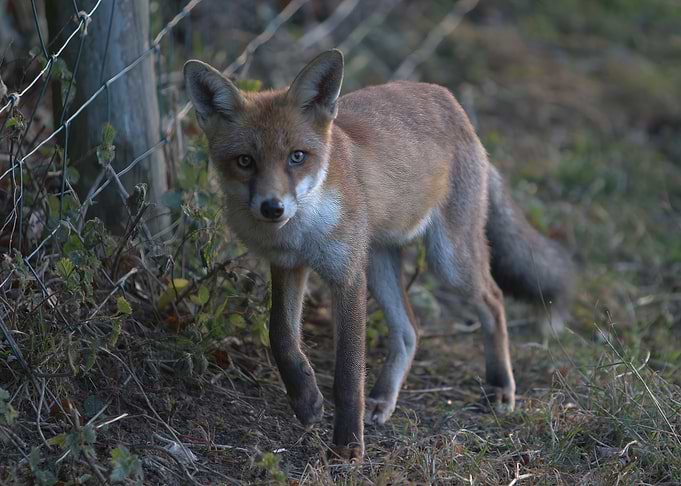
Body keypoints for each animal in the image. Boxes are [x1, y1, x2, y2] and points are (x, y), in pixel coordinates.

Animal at [183, 49, 573, 461]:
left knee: (493, 299)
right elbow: (282, 338)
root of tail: (450, 102)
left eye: (297, 157)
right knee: (409, 329)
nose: (272, 208)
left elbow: (348, 375)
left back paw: (500, 386)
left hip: (447, 260)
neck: (303, 230)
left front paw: (348, 447)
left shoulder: (347, 276)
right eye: (245, 161)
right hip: (379, 261)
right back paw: (384, 398)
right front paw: (306, 401)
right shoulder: (289, 266)